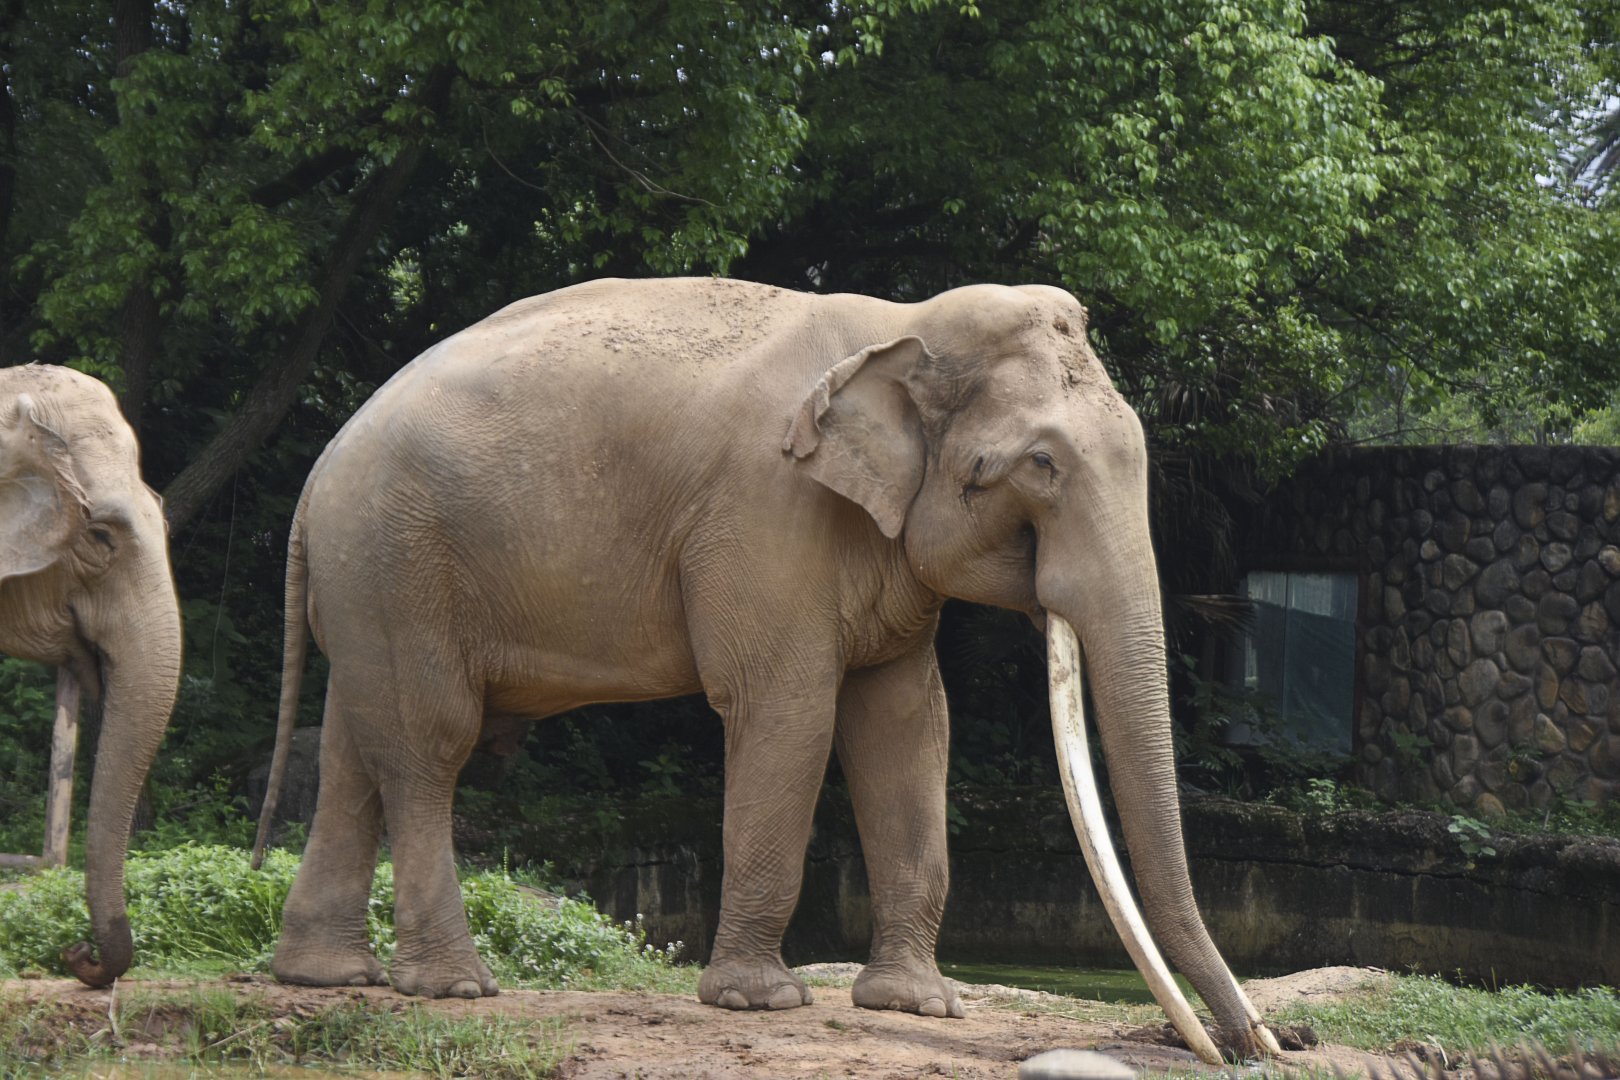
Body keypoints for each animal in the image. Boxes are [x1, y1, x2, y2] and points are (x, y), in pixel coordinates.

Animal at [253, 277, 1278, 1060]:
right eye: (1039, 465)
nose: (1257, 1047)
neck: (900, 325)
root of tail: (313, 479)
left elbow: (907, 723)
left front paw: (920, 1005)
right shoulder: (766, 513)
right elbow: (787, 709)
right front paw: (761, 1000)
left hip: (371, 582)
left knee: (351, 748)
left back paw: (325, 975)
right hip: (397, 560)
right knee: (426, 747)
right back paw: (454, 987)